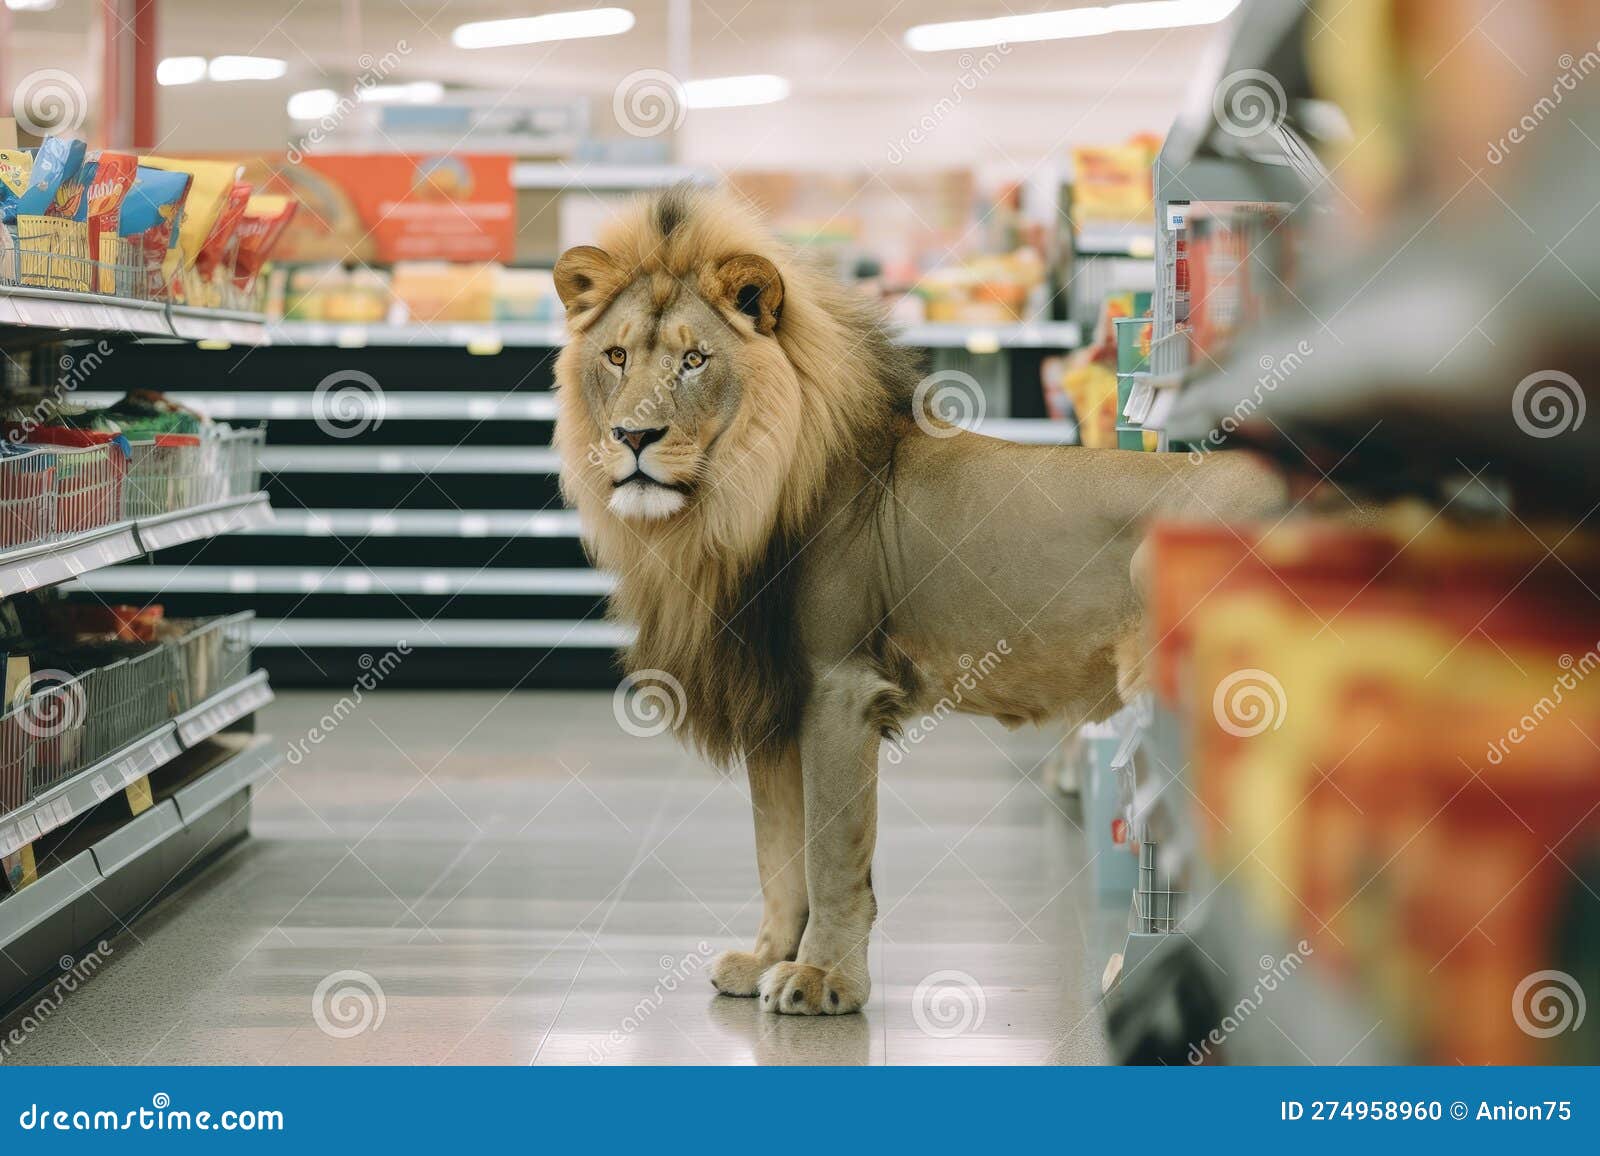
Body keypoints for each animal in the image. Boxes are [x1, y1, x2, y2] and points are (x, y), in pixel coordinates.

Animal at [552, 185, 1283, 1016]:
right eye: (616, 356)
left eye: (694, 359)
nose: (632, 436)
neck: (731, 506)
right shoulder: (776, 702)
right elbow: (778, 853)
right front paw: (767, 958)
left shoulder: (839, 687)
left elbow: (830, 853)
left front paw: (822, 978)